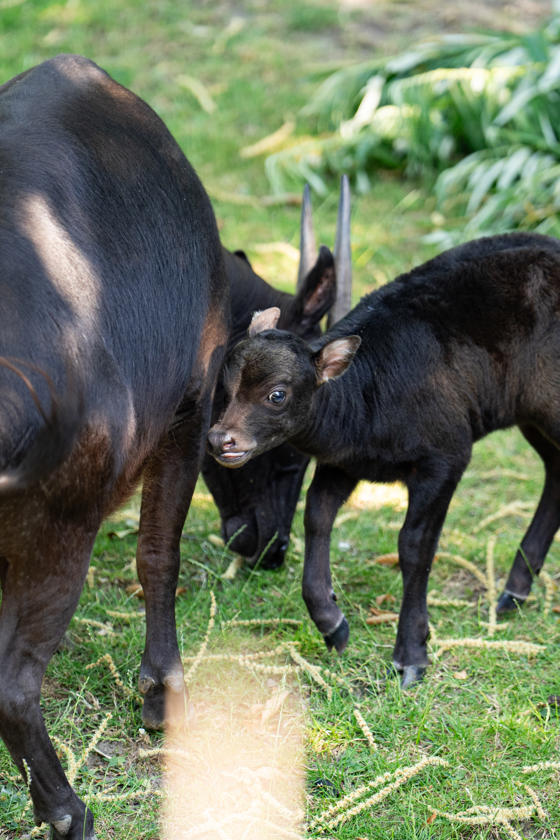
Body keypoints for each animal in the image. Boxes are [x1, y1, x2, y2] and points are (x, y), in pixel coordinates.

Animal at [0, 54, 229, 840]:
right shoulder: (191, 409)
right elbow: (159, 554)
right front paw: (164, 692)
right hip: (60, 528)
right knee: (14, 683)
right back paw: (68, 811)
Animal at [208, 230, 560, 689]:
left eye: (277, 394)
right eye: (224, 387)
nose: (221, 439)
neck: (368, 398)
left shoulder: (446, 458)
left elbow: (414, 546)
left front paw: (411, 655)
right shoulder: (343, 463)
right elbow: (316, 517)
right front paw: (333, 625)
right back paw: (514, 592)